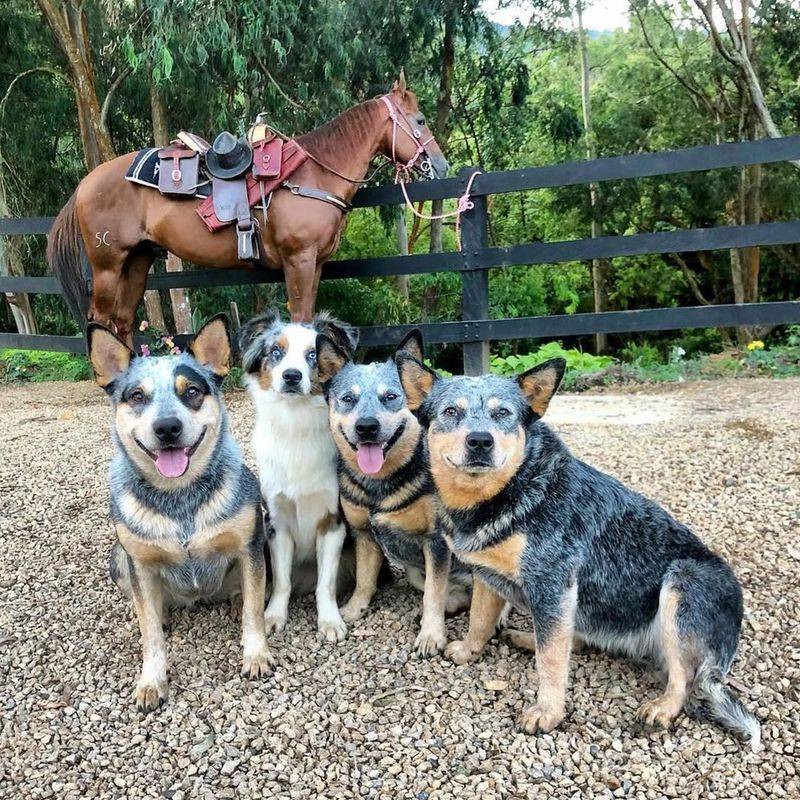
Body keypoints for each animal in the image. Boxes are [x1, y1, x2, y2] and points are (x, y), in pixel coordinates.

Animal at [47, 76, 446, 346]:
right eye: (420, 120)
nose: (440, 166)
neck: (311, 174)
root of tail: (86, 183)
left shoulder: (315, 262)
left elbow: (309, 319)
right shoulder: (299, 259)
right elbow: (300, 317)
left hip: (137, 260)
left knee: (124, 319)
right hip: (108, 264)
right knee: (99, 318)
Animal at [88, 314, 272, 712]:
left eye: (191, 392)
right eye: (137, 396)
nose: (167, 427)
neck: (180, 498)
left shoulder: (250, 546)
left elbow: (254, 610)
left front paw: (256, 655)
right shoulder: (138, 563)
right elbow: (150, 634)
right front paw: (151, 681)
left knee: (244, 593)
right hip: (118, 560)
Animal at [316, 332, 472, 656]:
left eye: (390, 396)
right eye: (348, 399)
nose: (366, 426)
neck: (378, 486)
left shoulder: (436, 542)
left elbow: (433, 594)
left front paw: (431, 635)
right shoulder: (363, 533)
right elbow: (365, 579)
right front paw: (354, 609)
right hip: (413, 569)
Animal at [396, 354, 760, 748]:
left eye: (503, 413)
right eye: (451, 411)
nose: (480, 441)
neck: (510, 493)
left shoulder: (552, 585)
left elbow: (551, 662)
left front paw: (548, 713)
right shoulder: (488, 576)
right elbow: (480, 619)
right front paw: (467, 649)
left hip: (681, 584)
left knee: (684, 677)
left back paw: (663, 707)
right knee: (575, 640)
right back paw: (527, 638)